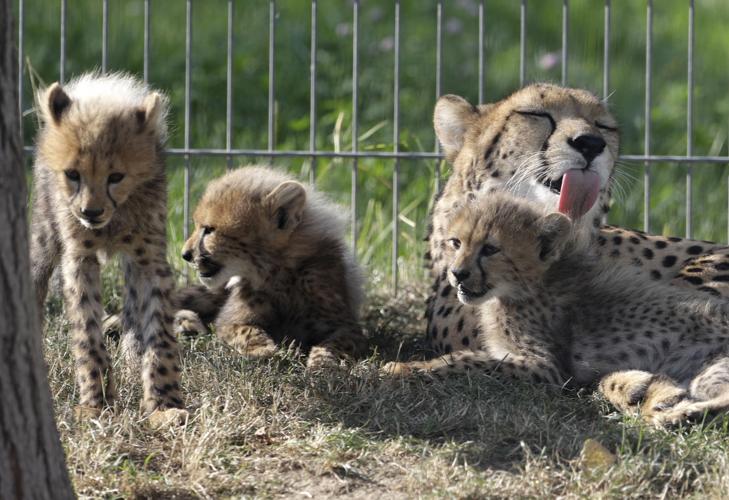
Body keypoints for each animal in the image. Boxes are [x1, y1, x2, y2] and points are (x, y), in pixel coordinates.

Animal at [30, 72, 187, 427]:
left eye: (116, 176)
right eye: (72, 174)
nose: (90, 212)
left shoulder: (151, 260)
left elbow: (160, 331)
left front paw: (163, 403)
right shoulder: (80, 258)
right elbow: (87, 331)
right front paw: (97, 403)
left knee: (131, 305)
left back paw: (132, 356)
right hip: (45, 232)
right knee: (35, 277)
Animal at [175, 166, 368, 370]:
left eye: (210, 230)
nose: (185, 254)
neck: (277, 271)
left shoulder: (347, 326)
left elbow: (336, 343)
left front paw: (323, 361)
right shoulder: (229, 321)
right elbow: (246, 330)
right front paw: (263, 350)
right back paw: (186, 324)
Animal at [386, 192, 729, 426]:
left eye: (491, 249)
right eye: (456, 242)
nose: (457, 273)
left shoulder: (546, 368)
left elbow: (470, 362)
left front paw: (405, 368)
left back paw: (678, 414)